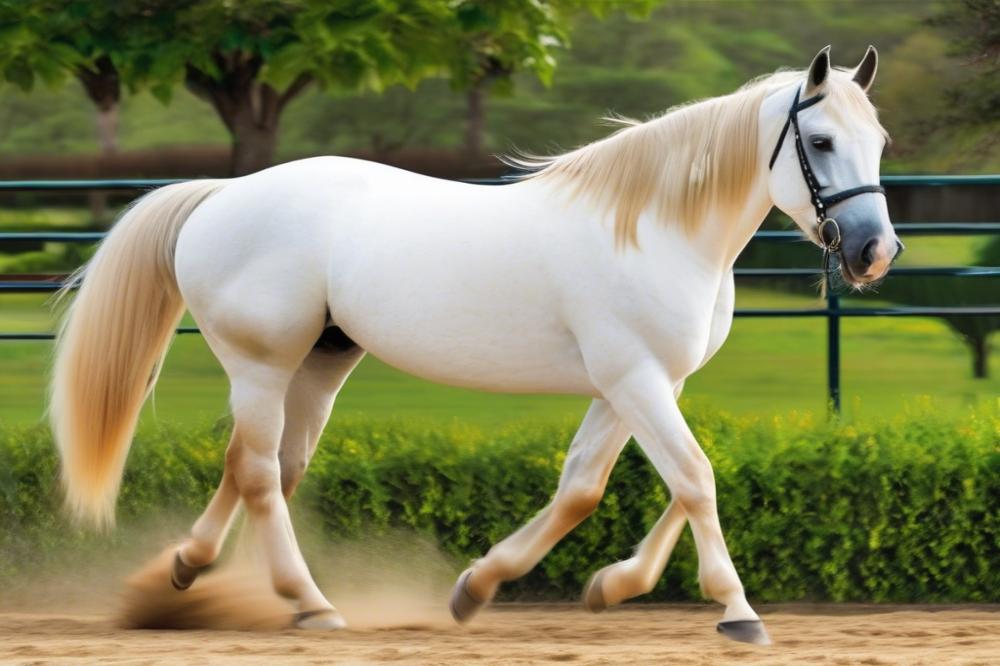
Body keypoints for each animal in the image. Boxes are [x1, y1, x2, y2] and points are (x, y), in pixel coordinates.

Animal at [51, 46, 897, 645]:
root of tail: (221, 197)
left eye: (880, 140)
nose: (874, 253)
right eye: (821, 140)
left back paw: (186, 572)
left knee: (262, 468)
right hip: (261, 365)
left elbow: (593, 488)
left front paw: (512, 587)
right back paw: (309, 605)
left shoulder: (639, 384)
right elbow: (694, 479)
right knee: (260, 475)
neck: (654, 229)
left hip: (320, 364)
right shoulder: (636, 378)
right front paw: (736, 610)